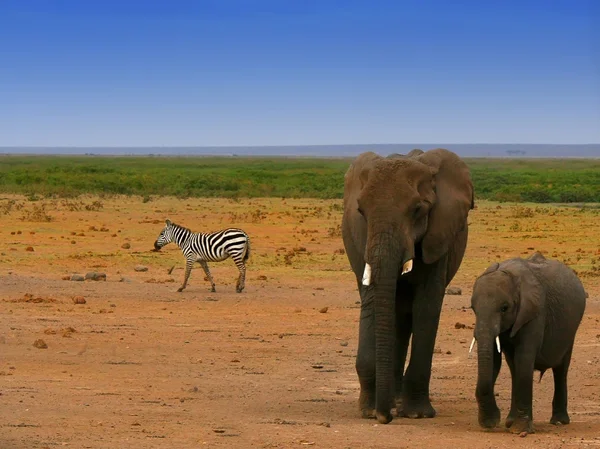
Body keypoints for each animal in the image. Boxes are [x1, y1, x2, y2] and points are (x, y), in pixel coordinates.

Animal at [342, 148, 474, 424]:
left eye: (417, 210)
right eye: (360, 210)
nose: (384, 418)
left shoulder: (438, 236)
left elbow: (426, 306)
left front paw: (416, 414)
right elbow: (373, 300)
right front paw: (369, 411)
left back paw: (398, 402)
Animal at [472, 250, 584, 432]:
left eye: (504, 308)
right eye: (473, 309)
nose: (493, 422)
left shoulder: (534, 313)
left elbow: (524, 359)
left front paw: (521, 430)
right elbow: (495, 360)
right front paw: (494, 422)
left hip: (571, 330)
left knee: (561, 369)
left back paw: (559, 421)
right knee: (514, 368)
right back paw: (510, 421)